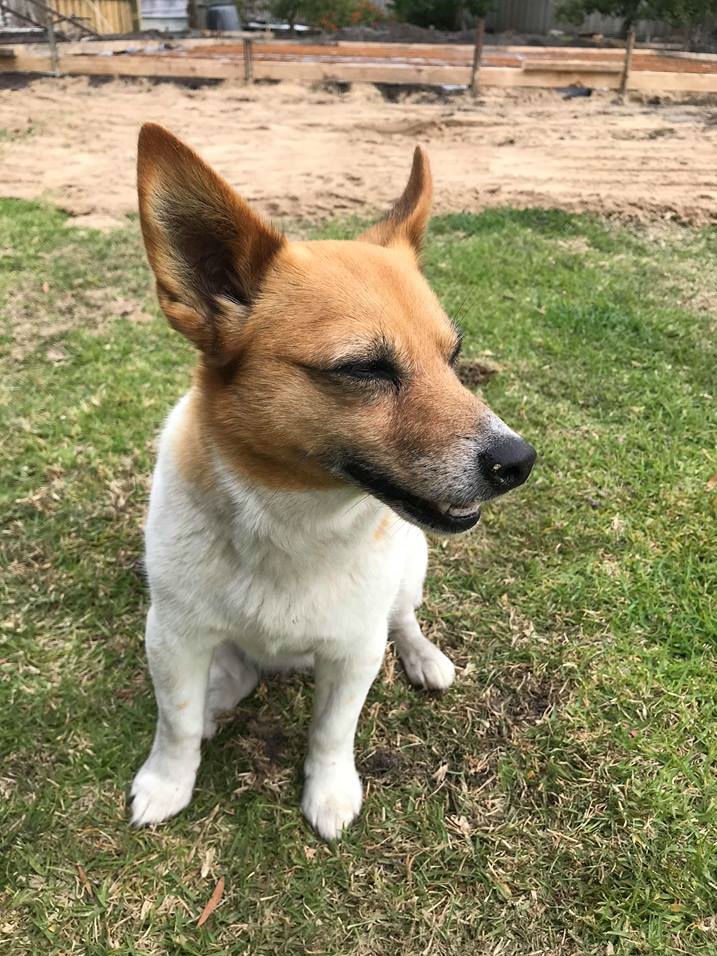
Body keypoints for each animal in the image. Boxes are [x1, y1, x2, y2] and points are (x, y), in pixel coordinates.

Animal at [129, 123, 536, 840]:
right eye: (365, 368)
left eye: (453, 357)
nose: (517, 461)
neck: (294, 520)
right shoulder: (174, 637)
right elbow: (174, 722)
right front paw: (168, 781)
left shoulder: (353, 651)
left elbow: (331, 731)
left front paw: (330, 790)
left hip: (409, 571)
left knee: (404, 618)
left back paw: (423, 656)